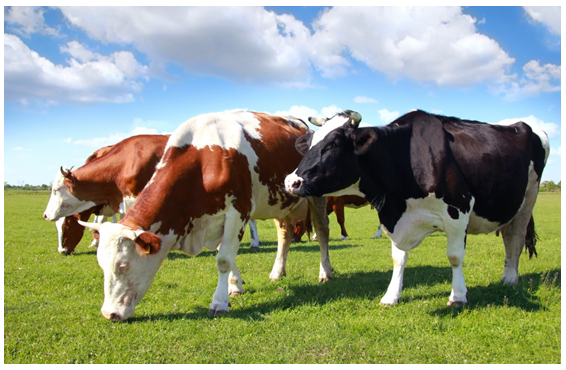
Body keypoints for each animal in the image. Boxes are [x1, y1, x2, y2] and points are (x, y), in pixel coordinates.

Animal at [69, 110, 330, 320]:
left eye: (123, 265)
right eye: (102, 265)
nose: (108, 314)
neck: (205, 159)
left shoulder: (238, 211)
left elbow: (223, 259)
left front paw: (219, 302)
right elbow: (227, 255)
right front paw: (235, 286)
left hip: (316, 196)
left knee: (323, 231)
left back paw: (325, 272)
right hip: (279, 203)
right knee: (284, 235)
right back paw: (277, 272)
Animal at [286, 109, 552, 306]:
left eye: (335, 144)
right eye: (311, 143)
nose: (291, 181)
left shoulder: (460, 208)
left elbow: (454, 256)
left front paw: (458, 296)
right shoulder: (397, 217)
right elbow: (398, 258)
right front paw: (391, 296)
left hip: (529, 198)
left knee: (515, 239)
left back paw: (510, 279)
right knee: (508, 237)